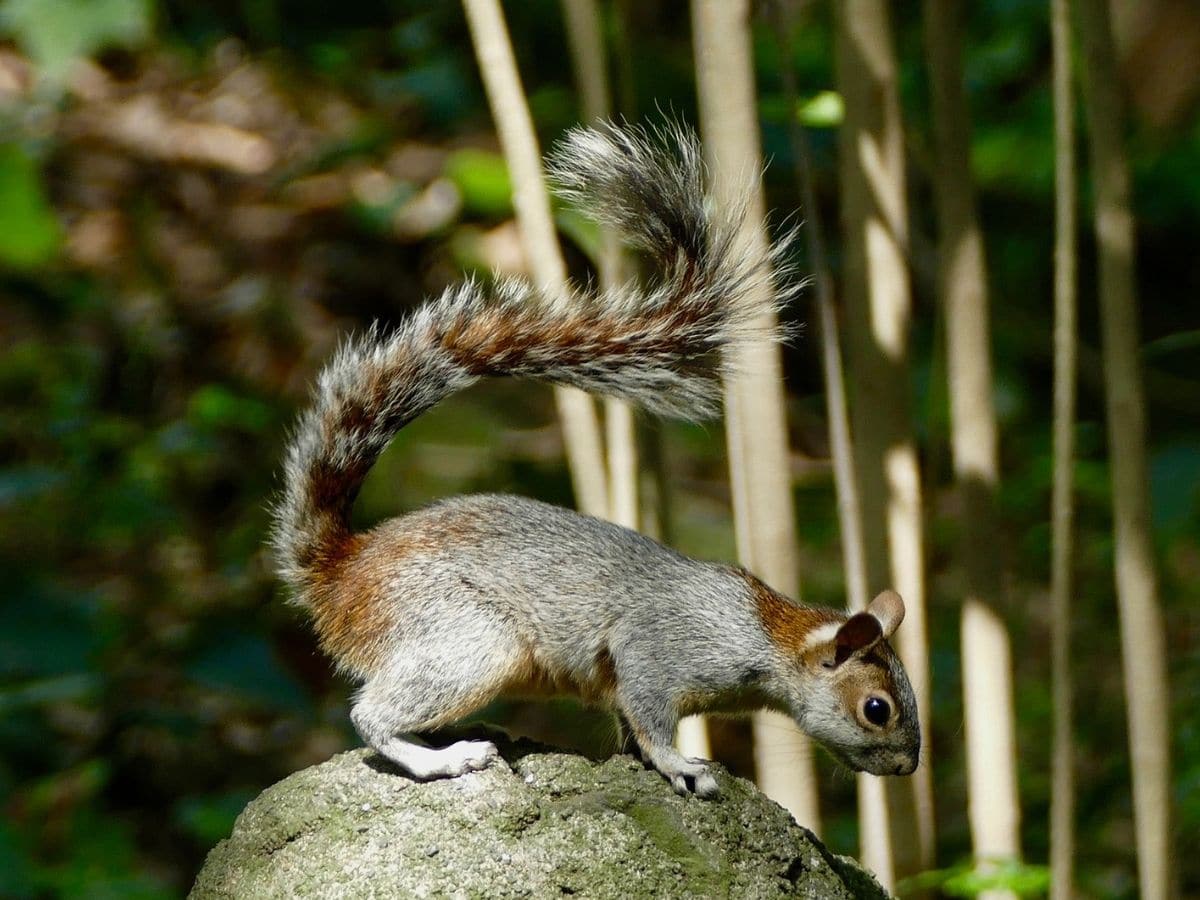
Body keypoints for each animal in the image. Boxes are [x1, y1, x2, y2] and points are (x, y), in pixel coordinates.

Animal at [271, 122, 920, 798]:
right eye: (876, 709)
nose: (908, 765)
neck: (769, 633)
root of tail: (341, 574)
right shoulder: (658, 651)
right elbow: (649, 715)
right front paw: (680, 765)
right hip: (468, 639)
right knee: (371, 714)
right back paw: (444, 758)